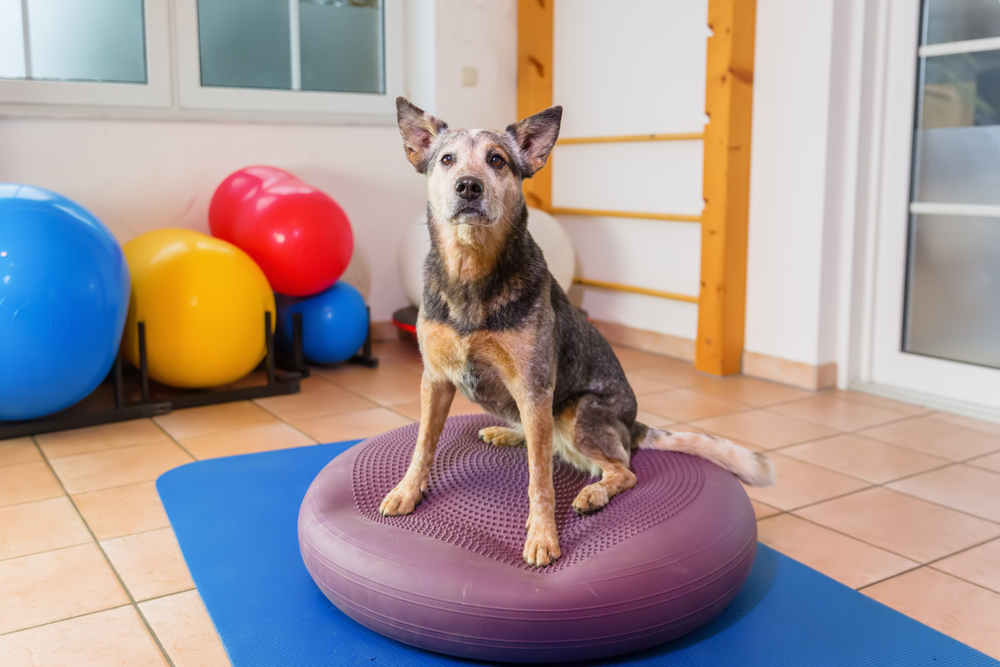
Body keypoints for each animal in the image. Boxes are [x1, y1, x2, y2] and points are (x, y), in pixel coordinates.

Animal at [378, 98, 776, 568]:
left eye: (497, 160)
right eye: (446, 159)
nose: (468, 187)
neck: (471, 271)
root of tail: (633, 425)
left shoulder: (533, 386)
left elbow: (540, 481)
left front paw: (543, 535)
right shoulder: (436, 380)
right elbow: (422, 445)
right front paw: (407, 491)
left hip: (576, 412)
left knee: (620, 468)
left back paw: (594, 492)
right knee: (548, 442)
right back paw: (508, 432)